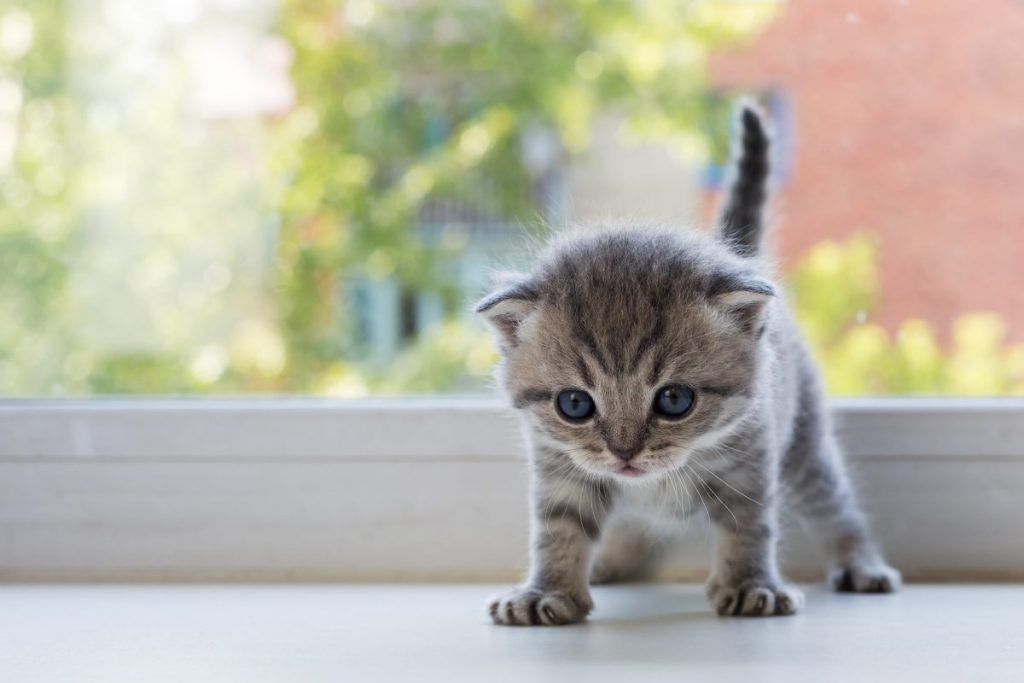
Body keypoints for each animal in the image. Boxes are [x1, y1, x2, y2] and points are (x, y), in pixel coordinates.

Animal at [475, 100, 901, 626]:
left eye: (674, 400)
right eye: (574, 404)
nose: (624, 453)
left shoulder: (751, 460)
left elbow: (749, 525)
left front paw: (751, 585)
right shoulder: (560, 466)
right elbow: (558, 527)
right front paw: (547, 591)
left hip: (805, 441)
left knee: (834, 504)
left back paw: (861, 563)